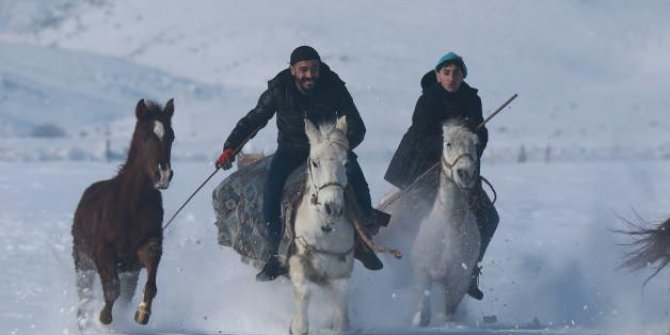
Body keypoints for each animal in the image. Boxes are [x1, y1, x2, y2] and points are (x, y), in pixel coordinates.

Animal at [72, 98, 176, 330]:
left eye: (172, 136)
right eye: (144, 136)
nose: (163, 175)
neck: (130, 207)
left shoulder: (143, 254)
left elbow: (150, 284)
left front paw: (142, 313)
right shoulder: (103, 253)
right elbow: (112, 289)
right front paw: (103, 318)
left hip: (129, 273)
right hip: (83, 264)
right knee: (84, 297)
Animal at [292, 116, 360, 335]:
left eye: (346, 163)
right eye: (314, 162)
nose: (333, 208)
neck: (326, 230)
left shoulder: (343, 269)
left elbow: (341, 305)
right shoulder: (297, 259)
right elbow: (303, 292)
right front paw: (297, 326)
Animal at [412, 121, 480, 328]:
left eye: (476, 143)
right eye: (448, 143)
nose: (466, 174)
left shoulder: (458, 281)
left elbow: (448, 311)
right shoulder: (424, 272)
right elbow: (423, 306)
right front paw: (419, 321)